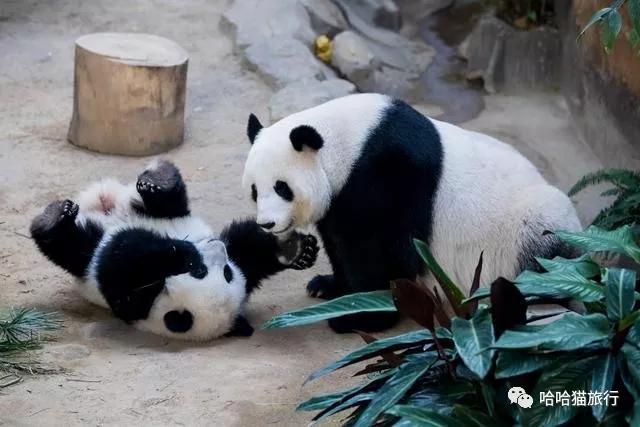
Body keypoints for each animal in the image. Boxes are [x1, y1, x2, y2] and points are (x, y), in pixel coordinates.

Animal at [30, 160, 320, 342]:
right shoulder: (137, 302)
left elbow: (121, 255)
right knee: (166, 204)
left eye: (225, 272)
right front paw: (295, 249)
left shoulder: (133, 301)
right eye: (202, 271)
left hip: (89, 251)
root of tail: (107, 204)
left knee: (72, 247)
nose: (217, 247)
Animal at [242, 93, 584, 334]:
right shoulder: (340, 199)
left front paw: (358, 318)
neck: (346, 141)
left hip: (533, 230)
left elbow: (376, 253)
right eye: (255, 190)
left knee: (542, 256)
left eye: (283, 187)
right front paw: (329, 286)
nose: (267, 224)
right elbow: (340, 244)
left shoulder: (385, 174)